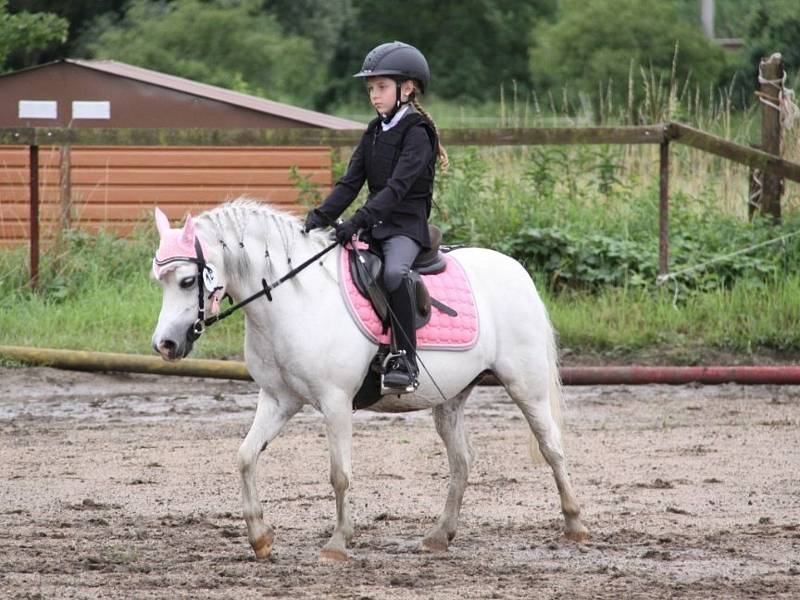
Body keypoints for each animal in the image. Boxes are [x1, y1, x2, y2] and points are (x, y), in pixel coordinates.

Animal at [150, 200, 588, 564]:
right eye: (161, 281)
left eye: (187, 281)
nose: (165, 344)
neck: (296, 300)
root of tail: (515, 269)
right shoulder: (278, 400)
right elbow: (245, 457)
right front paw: (260, 538)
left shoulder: (336, 402)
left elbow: (339, 474)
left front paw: (337, 544)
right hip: (450, 397)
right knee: (462, 461)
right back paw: (439, 536)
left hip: (525, 384)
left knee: (551, 447)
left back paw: (575, 524)